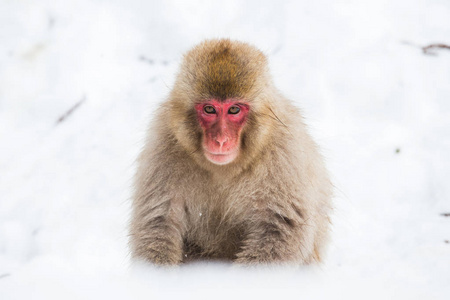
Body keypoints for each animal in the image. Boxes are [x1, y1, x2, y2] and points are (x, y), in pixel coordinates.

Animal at [128, 38, 332, 264]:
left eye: (234, 109)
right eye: (209, 109)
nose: (221, 140)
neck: (223, 169)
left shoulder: (285, 152)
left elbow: (279, 226)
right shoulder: (163, 145)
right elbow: (159, 221)